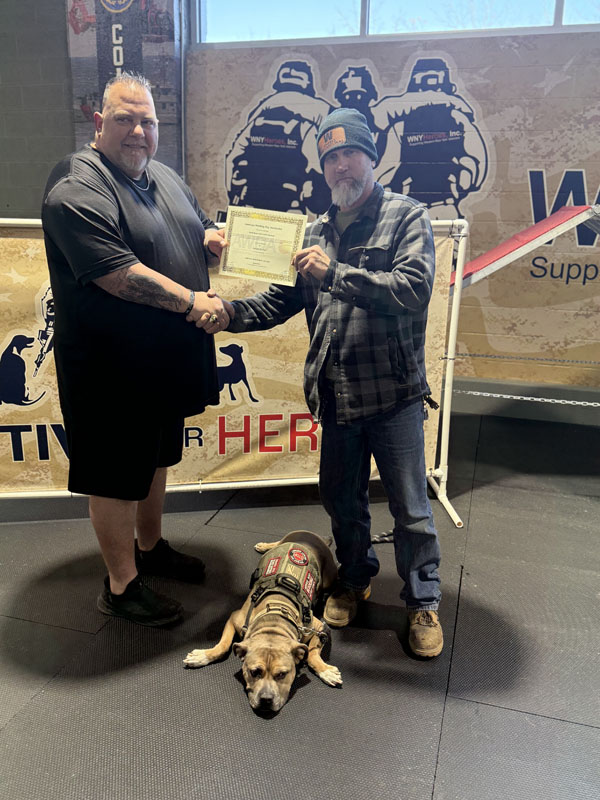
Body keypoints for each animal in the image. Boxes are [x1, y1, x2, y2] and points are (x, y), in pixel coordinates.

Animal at [184, 530, 342, 712]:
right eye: (254, 672)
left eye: (282, 674)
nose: (266, 699)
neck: (274, 622)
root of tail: (313, 536)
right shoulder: (234, 619)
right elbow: (223, 645)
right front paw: (202, 656)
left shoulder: (318, 627)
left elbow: (313, 654)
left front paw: (325, 671)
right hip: (287, 539)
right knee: (278, 542)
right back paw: (264, 545)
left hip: (330, 576)